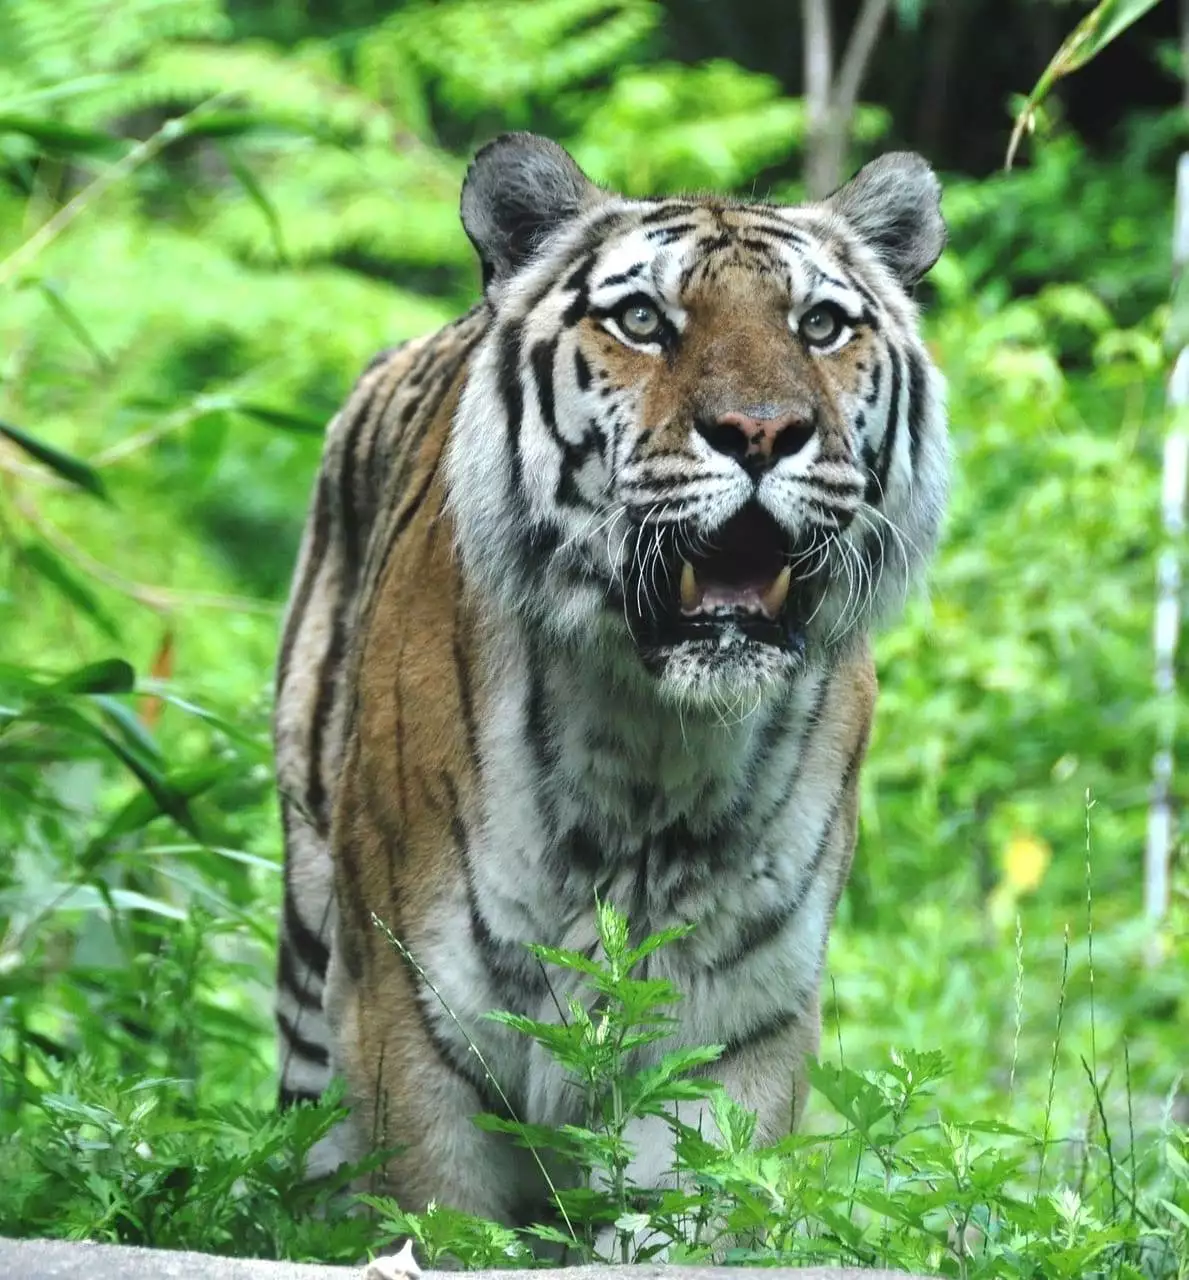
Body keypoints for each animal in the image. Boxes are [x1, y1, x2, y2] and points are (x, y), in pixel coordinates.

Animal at [272, 131, 948, 1246]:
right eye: (641, 320)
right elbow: (437, 1218)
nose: (760, 431)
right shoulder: (409, 1014)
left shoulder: (736, 1032)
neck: (655, 745)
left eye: (818, 325)